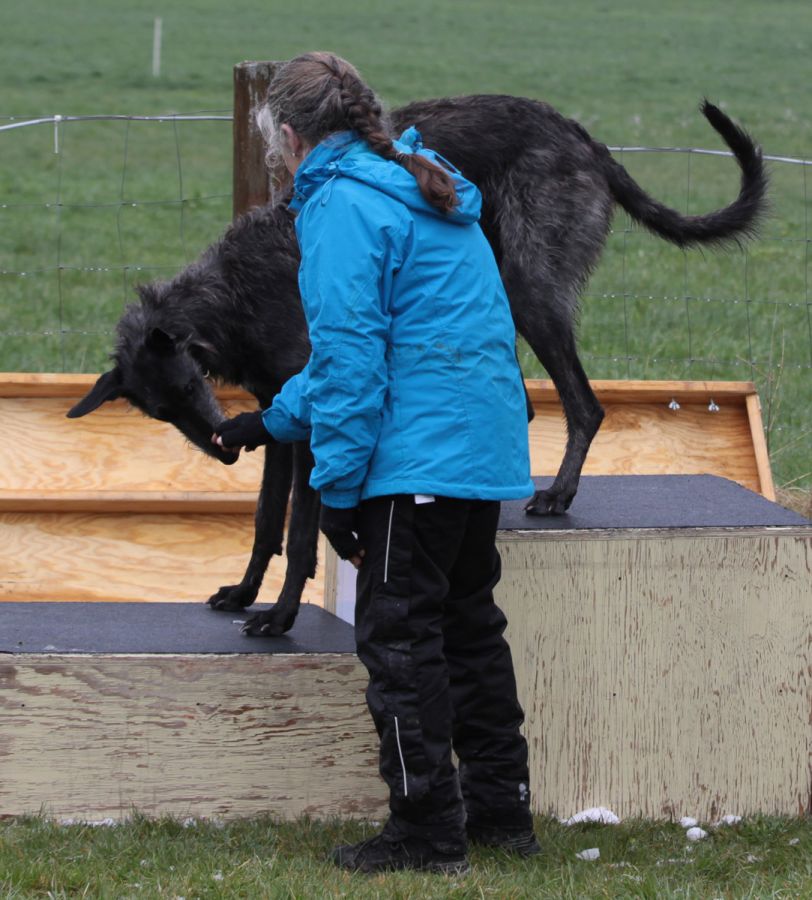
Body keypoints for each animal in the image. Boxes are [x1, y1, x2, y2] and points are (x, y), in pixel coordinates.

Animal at [67, 95, 767, 635]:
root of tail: (582, 138)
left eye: (191, 386)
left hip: (529, 291)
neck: (235, 291)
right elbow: (268, 522)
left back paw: (557, 493)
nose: (224, 451)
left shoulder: (312, 420)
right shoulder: (275, 416)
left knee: (585, 406)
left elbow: (302, 535)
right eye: (163, 412)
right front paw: (242, 593)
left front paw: (282, 615)